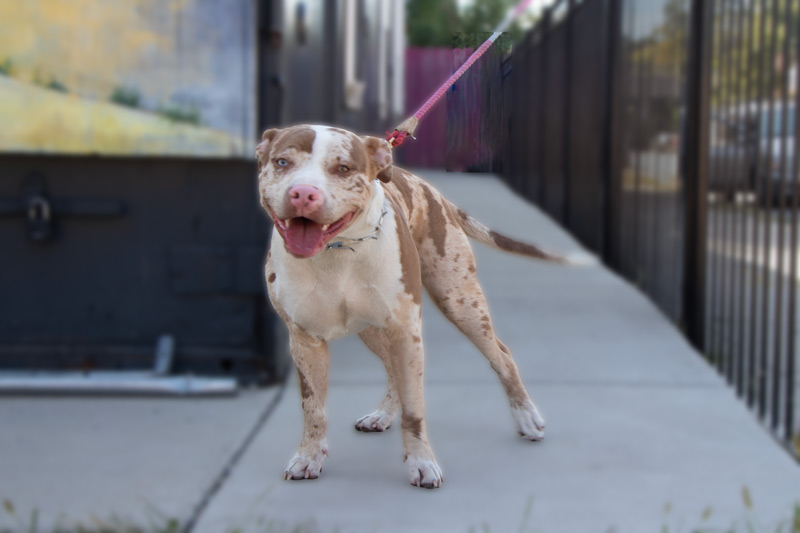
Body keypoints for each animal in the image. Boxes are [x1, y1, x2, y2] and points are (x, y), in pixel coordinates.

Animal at [258, 123, 568, 486]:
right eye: (282, 162)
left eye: (343, 168)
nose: (304, 193)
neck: (338, 251)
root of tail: (434, 192)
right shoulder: (305, 341)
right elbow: (313, 408)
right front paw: (308, 457)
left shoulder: (407, 334)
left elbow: (414, 408)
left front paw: (421, 462)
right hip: (373, 330)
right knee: (392, 370)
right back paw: (381, 415)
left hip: (459, 302)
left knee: (502, 356)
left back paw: (526, 417)